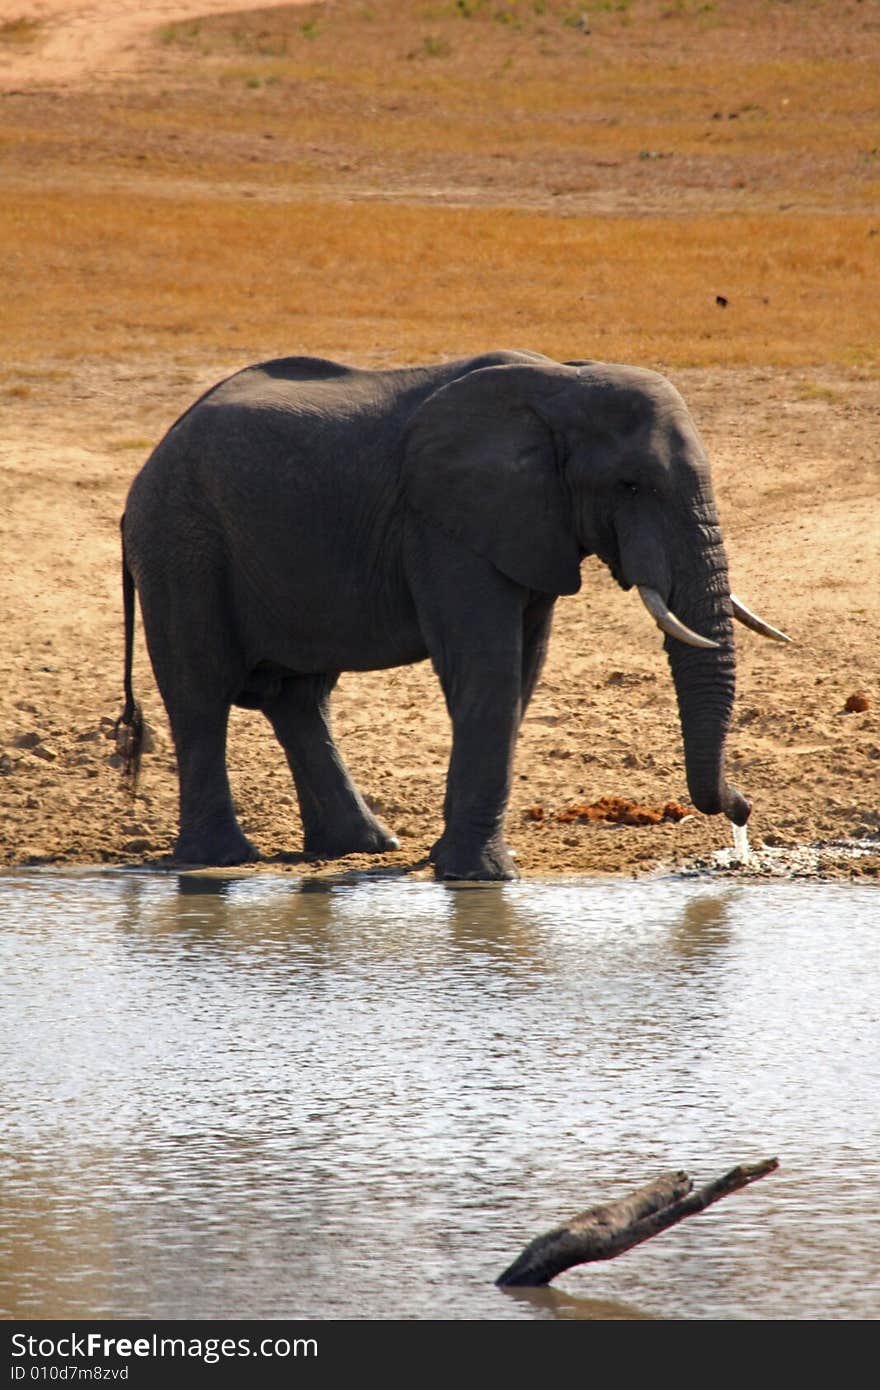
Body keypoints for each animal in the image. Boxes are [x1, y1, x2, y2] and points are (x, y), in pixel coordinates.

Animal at [118, 353, 789, 884]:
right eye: (629, 486)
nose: (743, 811)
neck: (563, 385)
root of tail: (149, 464)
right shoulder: (445, 523)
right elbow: (487, 669)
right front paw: (481, 877)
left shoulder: (529, 527)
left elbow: (523, 674)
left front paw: (455, 864)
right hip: (182, 541)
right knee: (201, 692)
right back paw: (223, 860)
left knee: (300, 699)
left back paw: (363, 846)